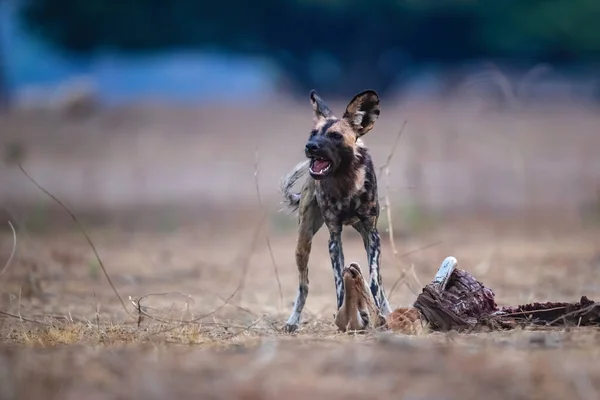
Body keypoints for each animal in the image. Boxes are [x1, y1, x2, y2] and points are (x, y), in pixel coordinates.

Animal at [282, 89, 394, 332]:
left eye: (335, 136)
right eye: (313, 133)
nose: (310, 146)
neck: (346, 182)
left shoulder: (372, 234)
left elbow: (374, 282)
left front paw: (378, 316)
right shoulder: (334, 237)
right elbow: (340, 284)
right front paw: (345, 317)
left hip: (365, 236)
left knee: (380, 283)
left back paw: (387, 311)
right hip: (302, 243)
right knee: (303, 285)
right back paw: (292, 321)